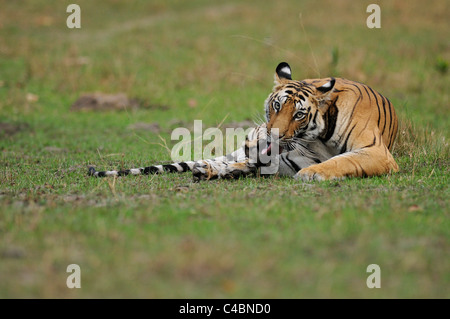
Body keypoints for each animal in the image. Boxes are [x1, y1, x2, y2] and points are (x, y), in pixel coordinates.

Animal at [89, 62, 400, 182]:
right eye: (277, 106)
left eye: (299, 114)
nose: (270, 135)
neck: (319, 141)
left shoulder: (376, 151)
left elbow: (344, 160)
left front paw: (313, 173)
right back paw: (213, 169)